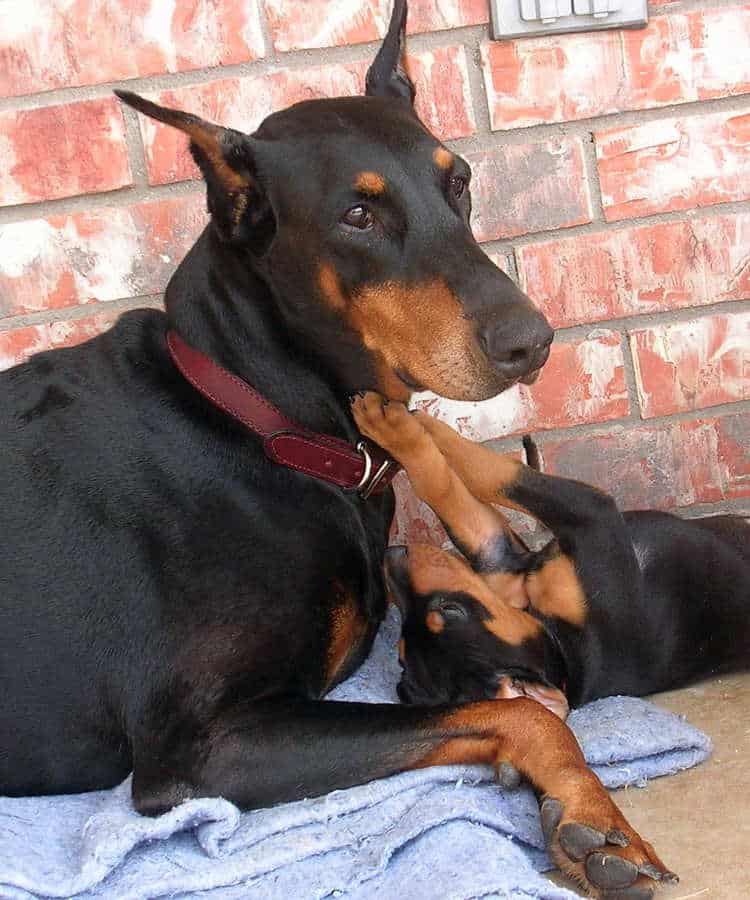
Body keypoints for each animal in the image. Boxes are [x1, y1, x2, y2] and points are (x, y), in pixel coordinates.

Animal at [0, 3, 672, 896]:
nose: (532, 342)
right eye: (359, 215)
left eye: (459, 181)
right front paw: (596, 817)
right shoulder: (200, 748)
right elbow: (519, 711)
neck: (262, 420)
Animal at [354, 394, 750, 724]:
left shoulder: (505, 551)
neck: (561, 648)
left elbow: (457, 482)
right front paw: (402, 425)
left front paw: (395, 423)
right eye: (401, 649)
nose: (392, 554)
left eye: (450, 610)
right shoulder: (587, 517)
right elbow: (491, 477)